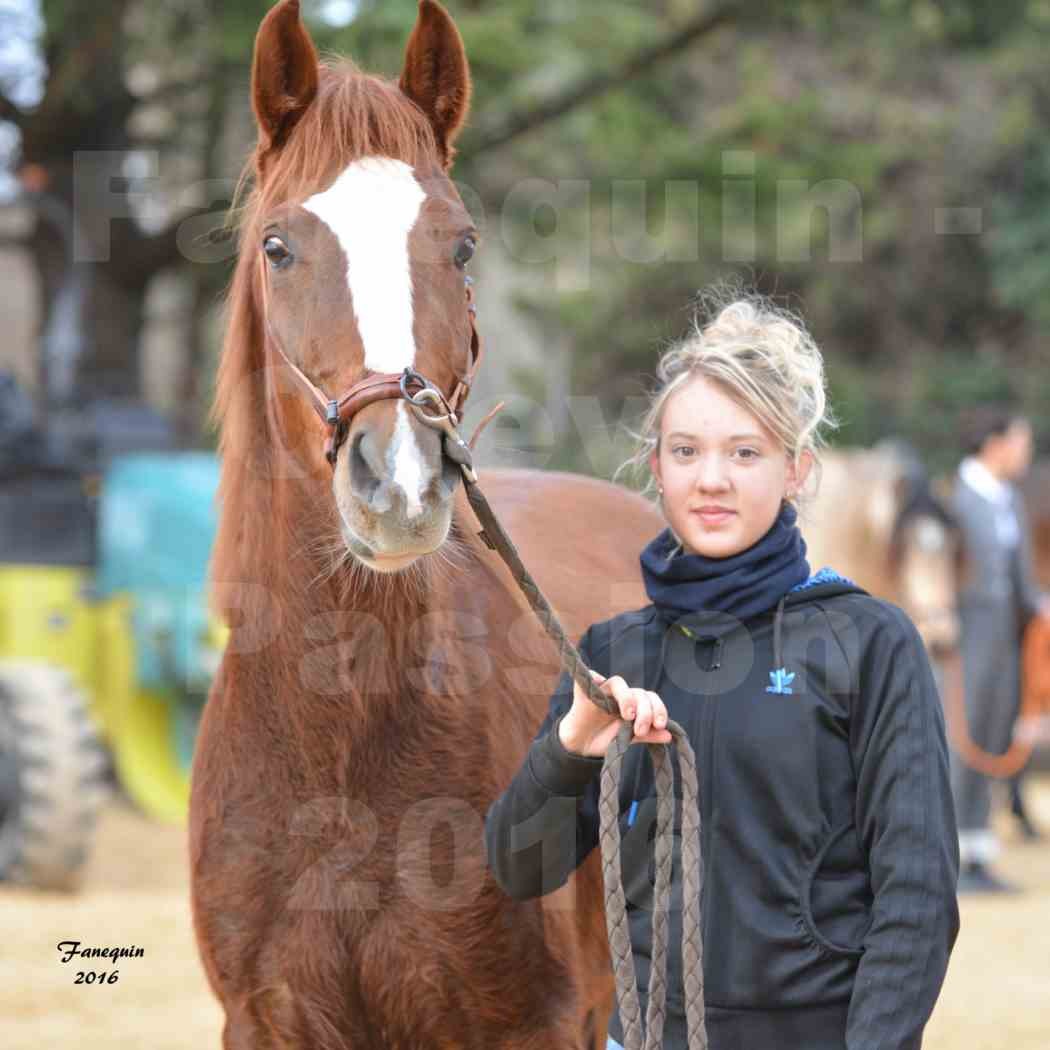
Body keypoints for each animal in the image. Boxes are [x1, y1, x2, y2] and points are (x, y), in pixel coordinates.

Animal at [187, 2, 659, 1050]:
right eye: (278, 246)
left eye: (463, 244)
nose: (397, 483)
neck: (339, 758)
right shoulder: (266, 1022)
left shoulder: (532, 1026)